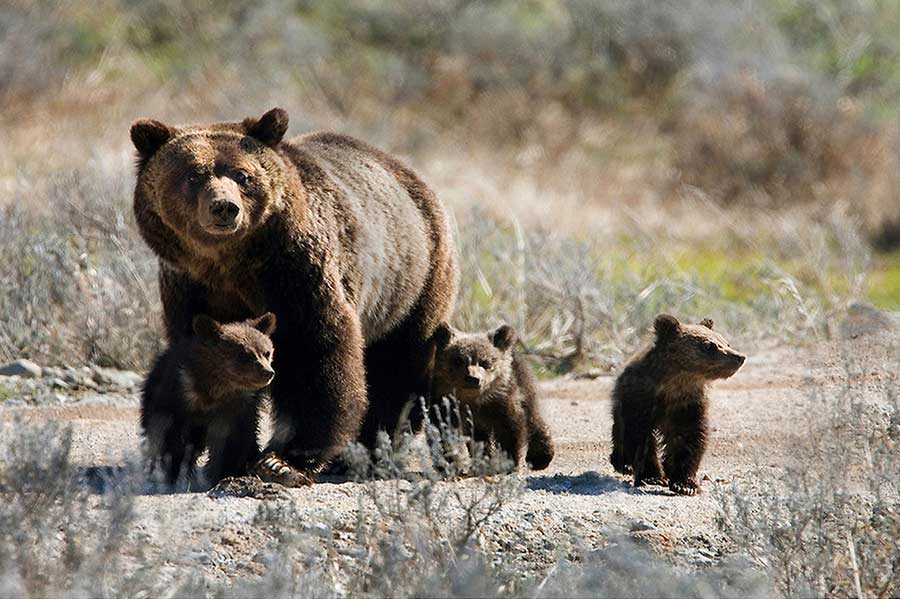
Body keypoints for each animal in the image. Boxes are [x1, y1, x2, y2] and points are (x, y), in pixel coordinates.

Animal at [132, 106, 458, 482]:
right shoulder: (190, 289)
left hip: (412, 283)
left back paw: (368, 451)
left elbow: (315, 354)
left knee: (396, 367)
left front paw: (283, 460)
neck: (230, 265)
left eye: (242, 175)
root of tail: (409, 174)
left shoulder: (296, 276)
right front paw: (194, 451)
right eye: (193, 175)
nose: (224, 207)